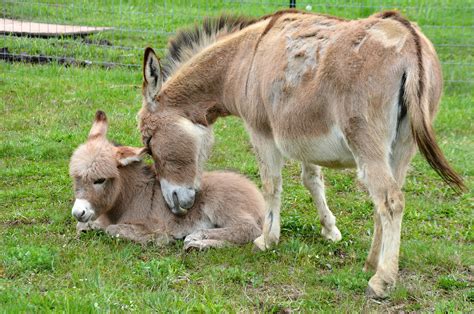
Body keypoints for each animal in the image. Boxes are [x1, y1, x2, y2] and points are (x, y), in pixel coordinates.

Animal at [69, 111, 264, 250]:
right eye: (76, 178)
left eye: (100, 180)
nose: (78, 212)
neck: (130, 197)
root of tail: (257, 195)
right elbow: (84, 225)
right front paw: (86, 226)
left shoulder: (150, 226)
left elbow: (112, 230)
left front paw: (158, 240)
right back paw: (199, 244)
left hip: (222, 205)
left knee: (249, 230)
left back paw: (197, 239)